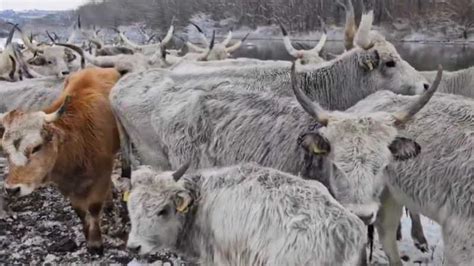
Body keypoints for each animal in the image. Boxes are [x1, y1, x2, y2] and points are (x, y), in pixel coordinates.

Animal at [0, 66, 131, 254]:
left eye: (36, 147)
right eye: (5, 151)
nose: (12, 189)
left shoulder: (102, 173)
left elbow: (93, 207)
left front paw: (96, 243)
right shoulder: (65, 184)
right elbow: (80, 211)